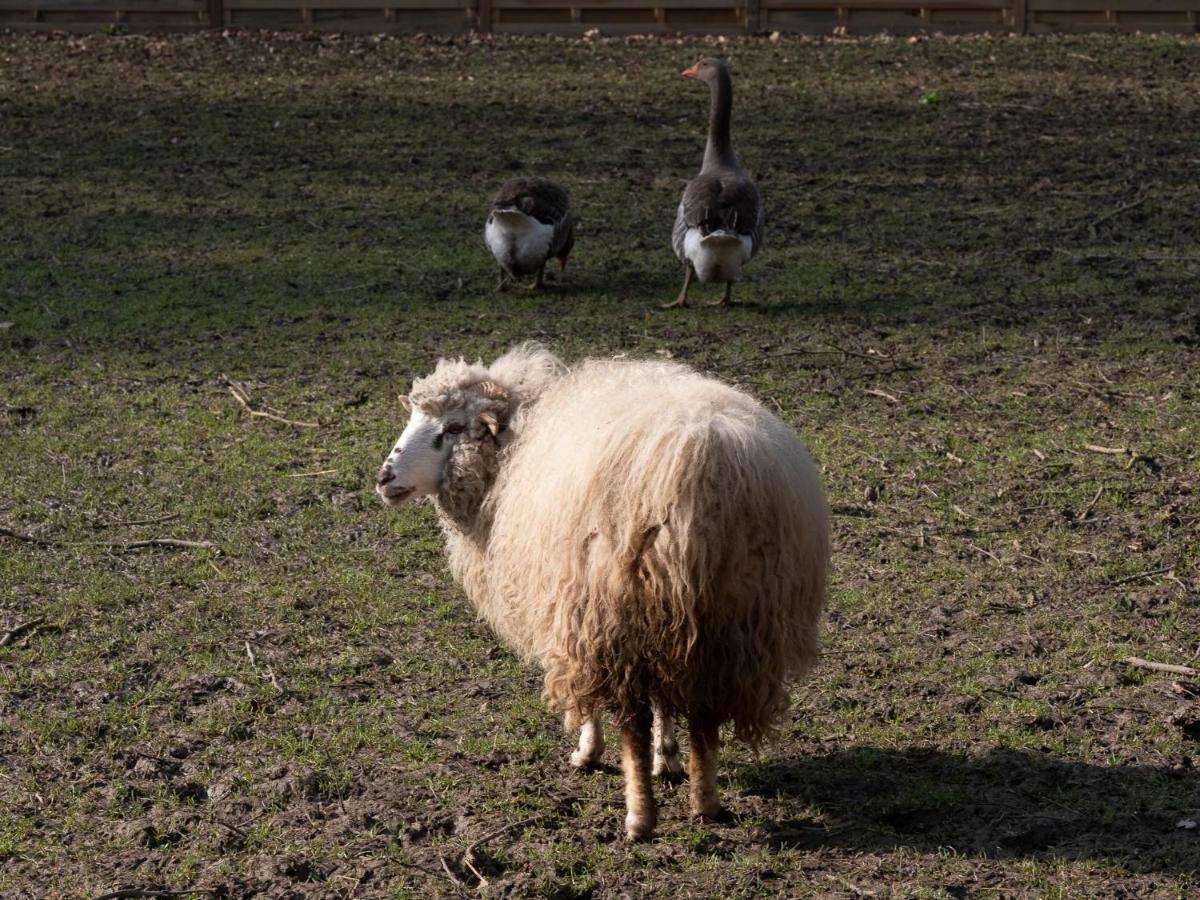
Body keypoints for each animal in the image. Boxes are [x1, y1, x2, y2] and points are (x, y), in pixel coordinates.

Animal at [379, 343, 830, 840]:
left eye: (455, 427)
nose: (385, 477)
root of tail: (702, 469)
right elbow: (666, 702)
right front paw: (668, 758)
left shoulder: (571, 606)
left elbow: (591, 701)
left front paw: (588, 751)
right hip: (728, 616)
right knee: (703, 712)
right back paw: (705, 800)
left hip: (614, 607)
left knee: (632, 723)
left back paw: (639, 816)